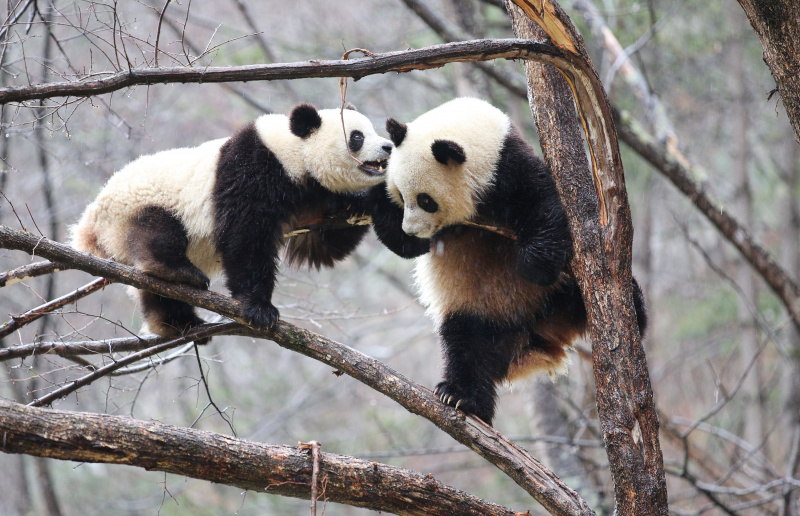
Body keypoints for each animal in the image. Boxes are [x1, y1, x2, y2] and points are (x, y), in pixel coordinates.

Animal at [72, 103, 393, 338]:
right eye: (357, 136)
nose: (389, 147)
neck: (294, 153)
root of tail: (88, 224)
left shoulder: (313, 198)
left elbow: (323, 245)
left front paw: (379, 198)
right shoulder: (253, 170)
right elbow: (245, 237)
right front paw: (260, 310)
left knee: (154, 294)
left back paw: (177, 322)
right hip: (133, 208)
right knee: (157, 230)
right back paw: (175, 271)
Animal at [369, 97, 647, 425]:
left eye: (426, 200)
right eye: (401, 195)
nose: (411, 229)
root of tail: (534, 338)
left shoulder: (512, 166)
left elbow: (544, 207)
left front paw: (532, 265)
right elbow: (406, 247)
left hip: (559, 296)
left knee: (587, 299)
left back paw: (634, 307)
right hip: (477, 311)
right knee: (467, 347)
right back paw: (461, 397)